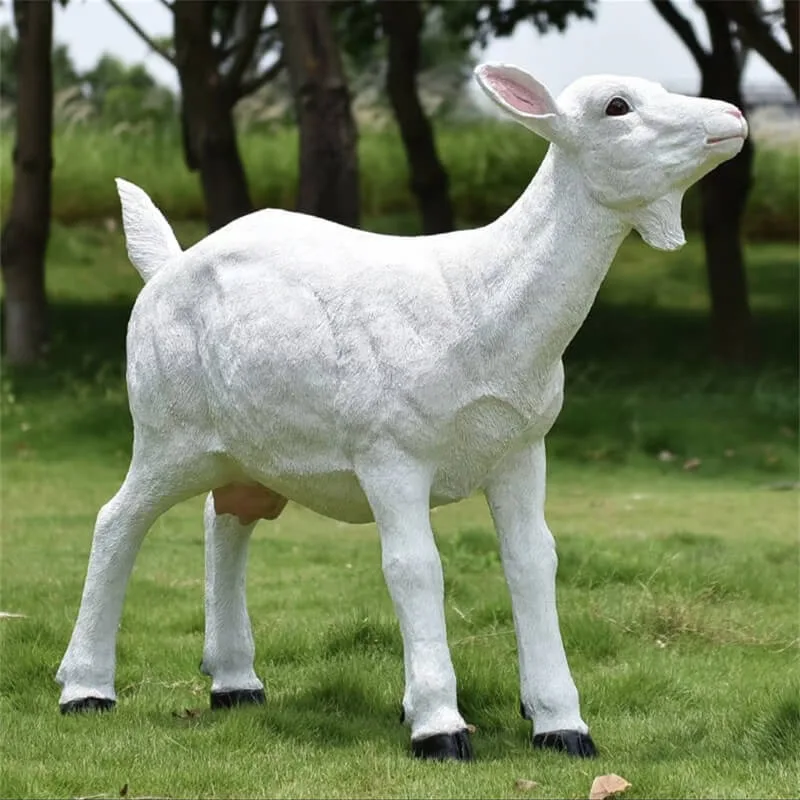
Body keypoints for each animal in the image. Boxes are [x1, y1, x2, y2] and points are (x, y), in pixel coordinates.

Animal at [56, 62, 747, 761]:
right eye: (616, 107)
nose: (733, 118)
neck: (480, 297)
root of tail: (164, 268)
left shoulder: (521, 448)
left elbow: (533, 560)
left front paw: (562, 724)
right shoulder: (391, 453)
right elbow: (415, 567)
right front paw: (439, 726)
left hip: (250, 448)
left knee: (224, 521)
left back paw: (235, 683)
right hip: (167, 430)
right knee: (117, 522)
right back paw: (85, 688)